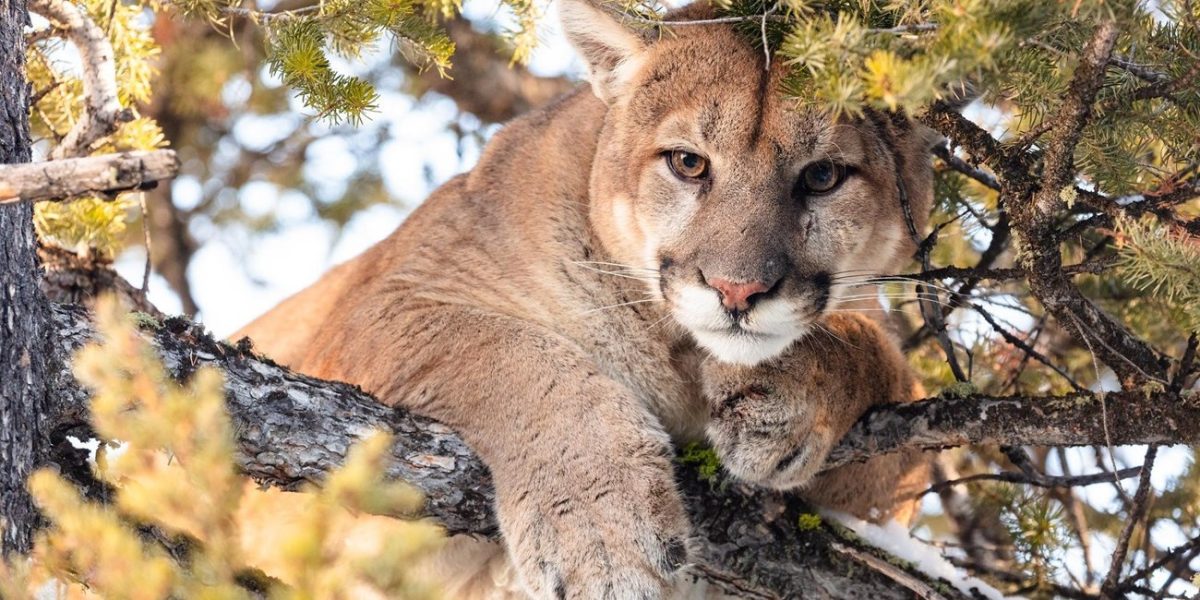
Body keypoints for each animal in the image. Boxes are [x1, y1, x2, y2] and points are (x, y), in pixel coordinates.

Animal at [234, 1, 938, 597]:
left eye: (823, 176)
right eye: (688, 163)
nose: (737, 290)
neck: (676, 355)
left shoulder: (892, 501)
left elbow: (891, 384)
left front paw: (783, 396)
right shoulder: (382, 307)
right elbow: (516, 358)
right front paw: (605, 533)